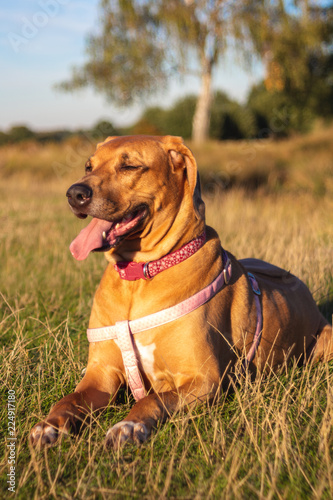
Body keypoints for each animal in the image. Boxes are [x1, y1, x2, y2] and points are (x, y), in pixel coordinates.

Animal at [29, 135, 330, 448]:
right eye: (89, 166)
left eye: (129, 166)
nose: (74, 193)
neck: (139, 277)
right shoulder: (100, 375)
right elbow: (68, 399)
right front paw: (49, 425)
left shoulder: (203, 379)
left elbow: (150, 400)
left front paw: (128, 425)